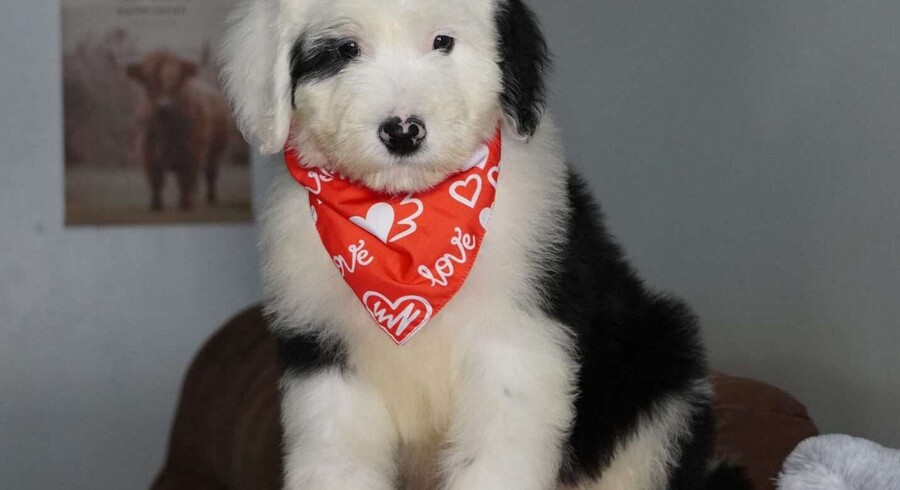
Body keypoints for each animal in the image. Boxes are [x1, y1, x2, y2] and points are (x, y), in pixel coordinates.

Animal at [127, 50, 229, 211]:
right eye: (148, 82)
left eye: (176, 81)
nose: (163, 107)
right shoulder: (147, 153)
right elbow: (156, 181)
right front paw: (156, 206)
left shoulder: (193, 154)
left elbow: (186, 181)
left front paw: (185, 205)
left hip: (215, 154)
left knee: (210, 175)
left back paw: (209, 198)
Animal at [219, 0, 752, 489]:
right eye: (346, 49)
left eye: (443, 42)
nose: (403, 131)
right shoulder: (324, 355)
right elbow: (335, 457)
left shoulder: (516, 340)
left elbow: (498, 451)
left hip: (658, 376)